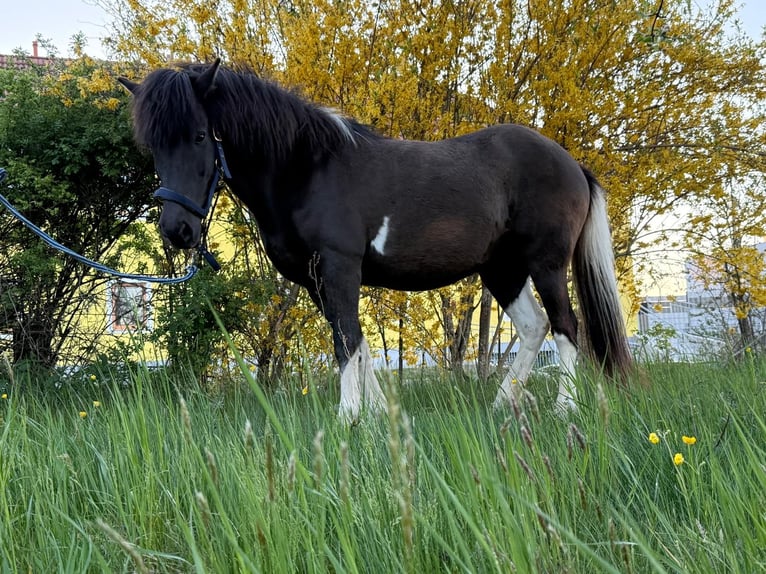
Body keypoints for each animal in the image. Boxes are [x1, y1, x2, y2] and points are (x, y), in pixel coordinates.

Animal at [118, 59, 632, 421]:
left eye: (199, 136)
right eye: (153, 146)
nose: (177, 230)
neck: (308, 167)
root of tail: (572, 163)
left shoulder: (339, 265)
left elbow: (346, 340)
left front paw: (347, 418)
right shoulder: (318, 281)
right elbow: (357, 342)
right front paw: (379, 413)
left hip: (546, 264)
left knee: (565, 326)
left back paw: (565, 409)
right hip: (501, 269)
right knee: (532, 327)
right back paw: (502, 405)